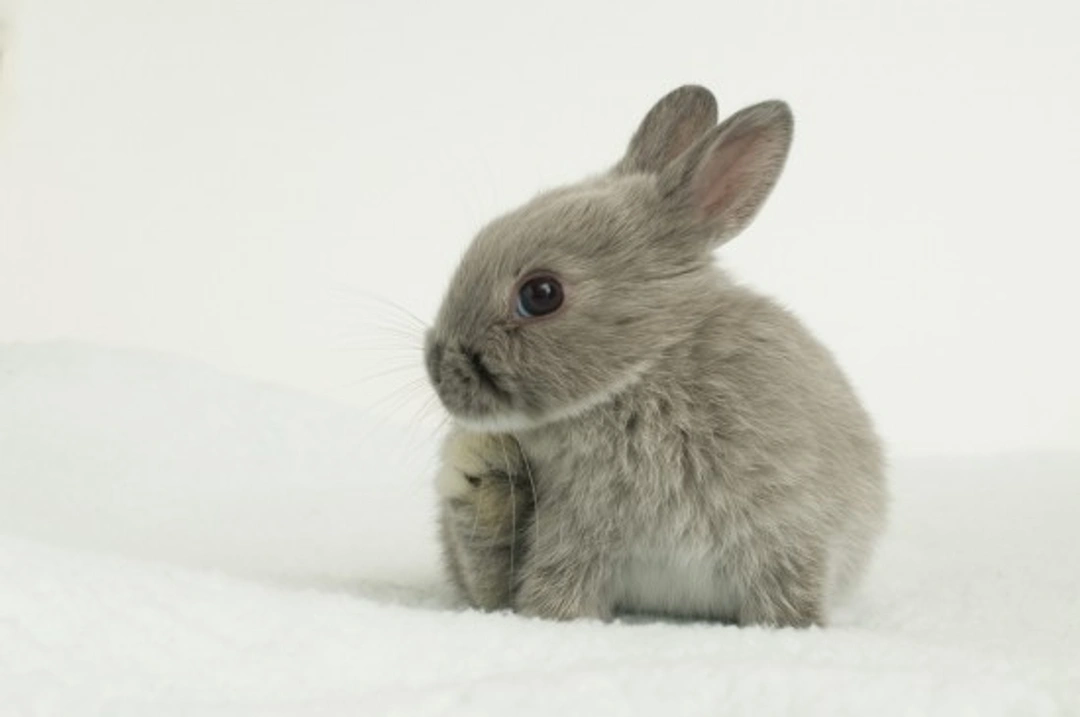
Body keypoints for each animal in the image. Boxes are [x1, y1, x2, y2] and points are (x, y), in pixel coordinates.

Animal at [426, 85, 886, 627]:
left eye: (541, 294)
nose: (436, 368)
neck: (644, 370)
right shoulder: (572, 541)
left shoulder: (788, 534)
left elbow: (788, 594)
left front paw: (792, 629)